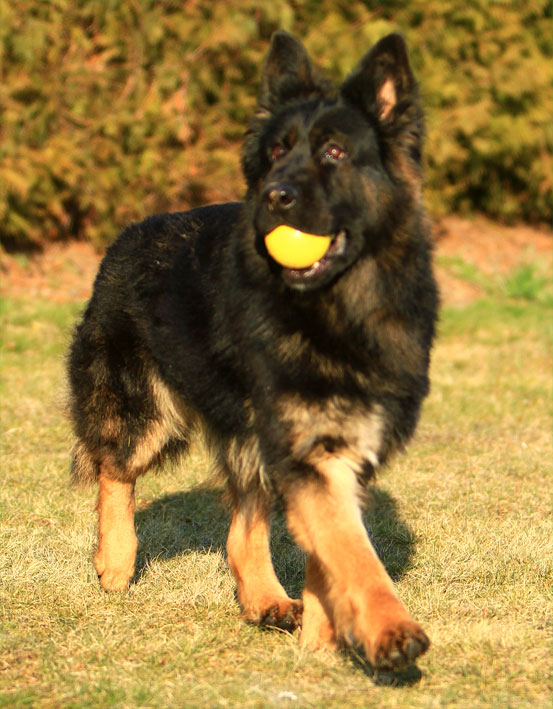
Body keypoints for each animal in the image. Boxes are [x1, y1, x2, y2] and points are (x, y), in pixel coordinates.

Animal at [68, 30, 438, 671]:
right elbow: (353, 550)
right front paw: (388, 629)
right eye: (275, 152)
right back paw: (114, 560)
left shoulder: (337, 446)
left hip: (245, 435)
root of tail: (128, 233)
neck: (335, 312)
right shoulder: (310, 450)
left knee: (242, 528)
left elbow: (328, 551)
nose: (273, 196)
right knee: (114, 468)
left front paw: (321, 638)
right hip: (148, 413)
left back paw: (266, 601)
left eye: (335, 152)